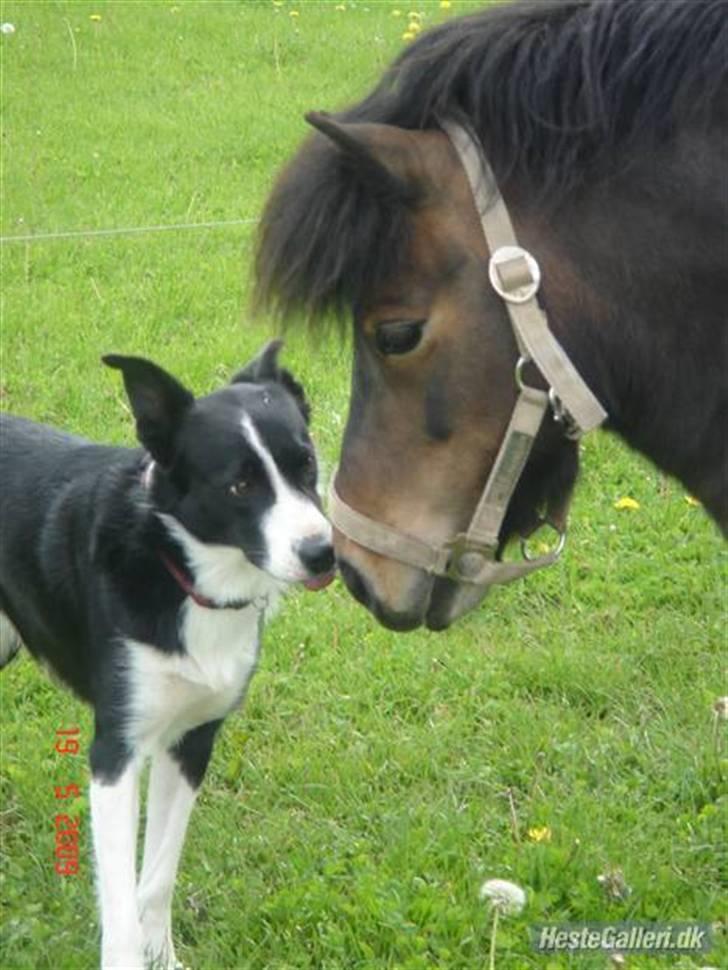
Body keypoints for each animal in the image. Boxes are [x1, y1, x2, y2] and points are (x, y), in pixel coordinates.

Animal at [0, 338, 336, 960]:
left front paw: (163, 956)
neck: (183, 572)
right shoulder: (116, 749)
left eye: (305, 462)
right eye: (239, 485)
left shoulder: (191, 741)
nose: (323, 553)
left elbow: (155, 876)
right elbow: (119, 899)